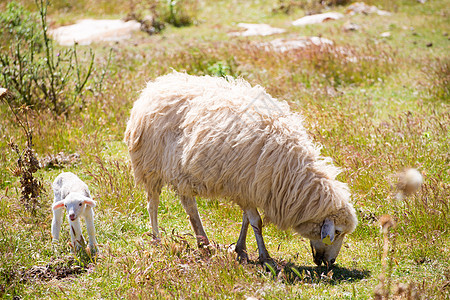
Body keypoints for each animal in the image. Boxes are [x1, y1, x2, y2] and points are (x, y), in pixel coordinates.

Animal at [123, 71, 358, 266]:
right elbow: (257, 222)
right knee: (153, 205)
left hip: (181, 170)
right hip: (150, 165)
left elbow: (247, 219)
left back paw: (203, 244)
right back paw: (157, 240)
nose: (329, 263)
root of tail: (156, 85)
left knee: (189, 206)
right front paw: (265, 257)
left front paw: (241, 249)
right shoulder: (246, 184)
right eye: (337, 232)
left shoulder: (249, 186)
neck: (292, 174)